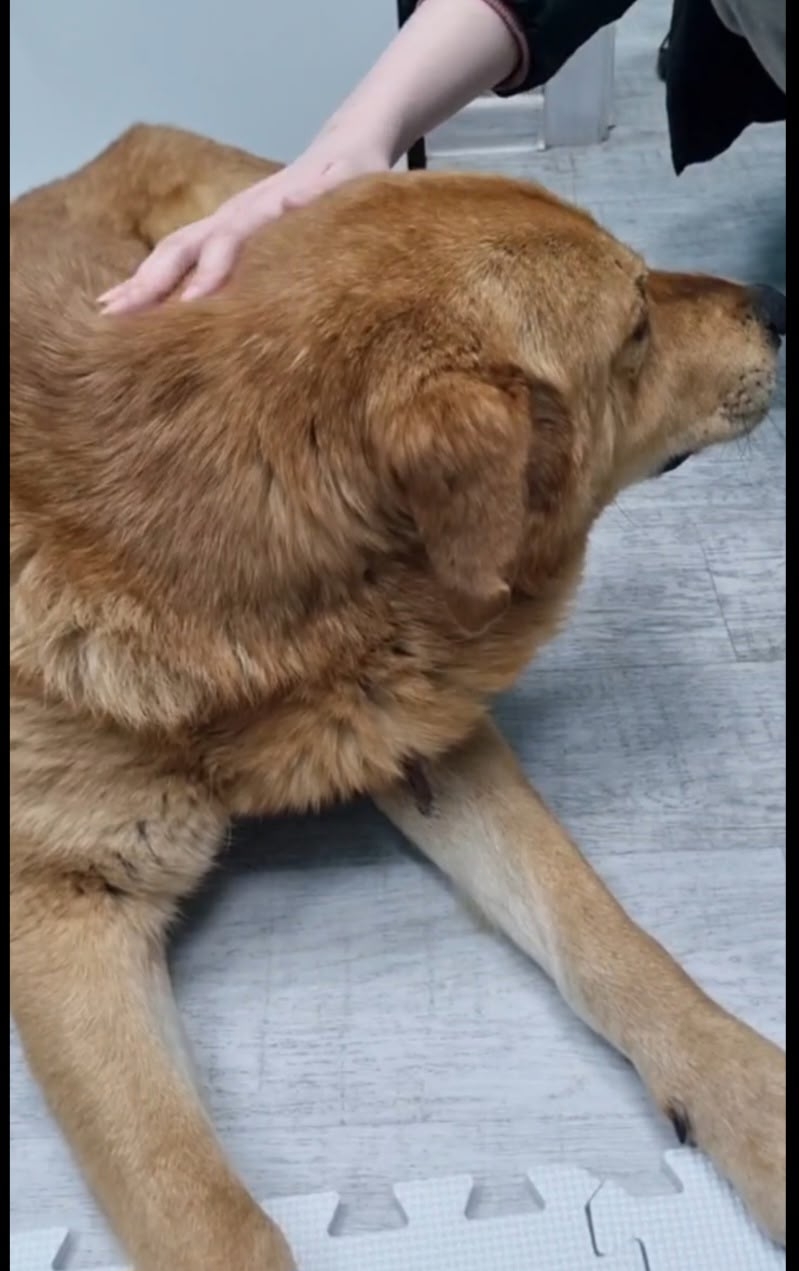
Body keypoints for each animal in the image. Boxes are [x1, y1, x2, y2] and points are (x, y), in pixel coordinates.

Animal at [10, 125, 785, 1270]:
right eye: (636, 323)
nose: (776, 300)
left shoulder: (425, 734)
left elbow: (606, 939)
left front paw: (754, 1098)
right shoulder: (63, 917)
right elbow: (204, 1212)